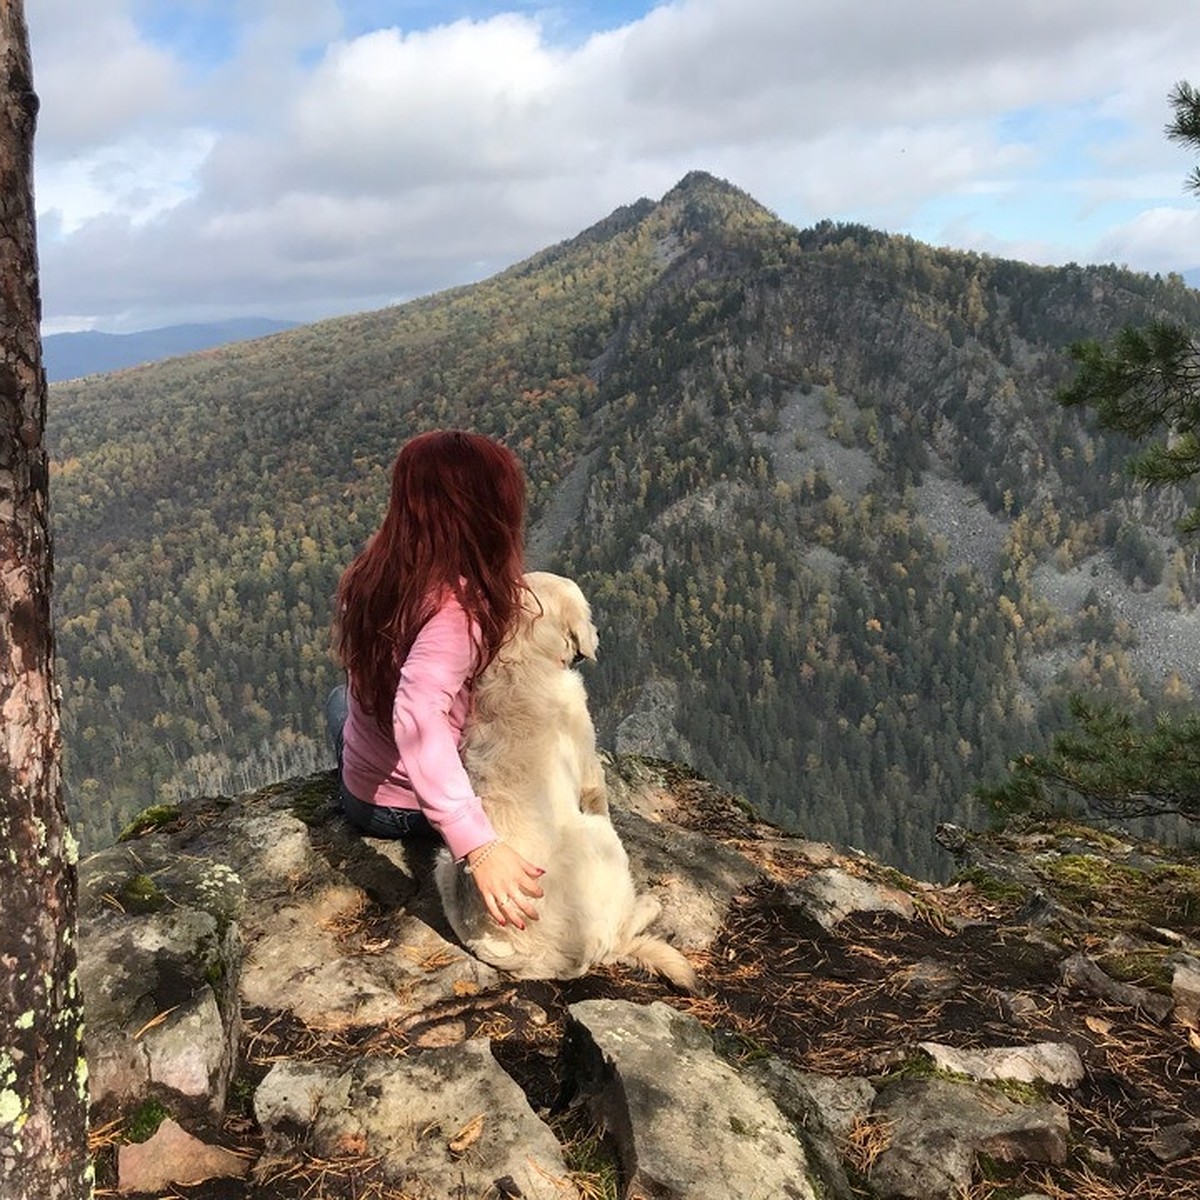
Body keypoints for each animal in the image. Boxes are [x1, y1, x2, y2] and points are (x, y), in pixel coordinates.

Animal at [434, 571, 700, 993]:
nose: (599, 635)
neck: (523, 656)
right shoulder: (589, 764)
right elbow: (598, 794)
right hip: (599, 839)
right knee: (620, 929)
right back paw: (648, 904)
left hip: (445, 860)